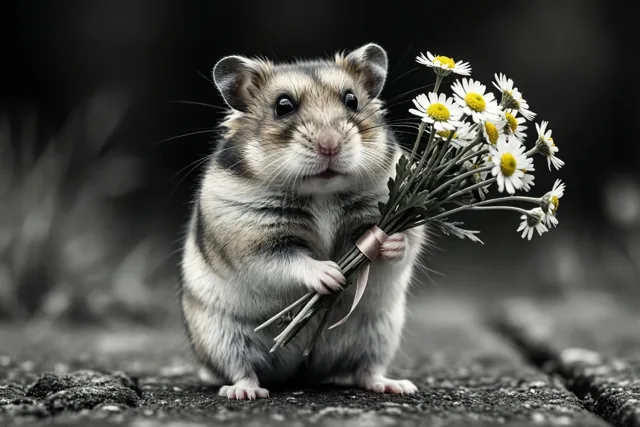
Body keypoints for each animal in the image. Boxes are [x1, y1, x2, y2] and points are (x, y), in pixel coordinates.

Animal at [178, 43, 428, 400]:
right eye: (283, 106)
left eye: (352, 100)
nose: (330, 144)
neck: (322, 193)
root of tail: (302, 371)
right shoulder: (250, 241)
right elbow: (287, 261)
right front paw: (333, 275)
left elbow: (402, 245)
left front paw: (389, 243)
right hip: (221, 335)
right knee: (241, 369)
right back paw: (244, 392)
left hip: (381, 330)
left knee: (366, 369)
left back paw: (397, 386)